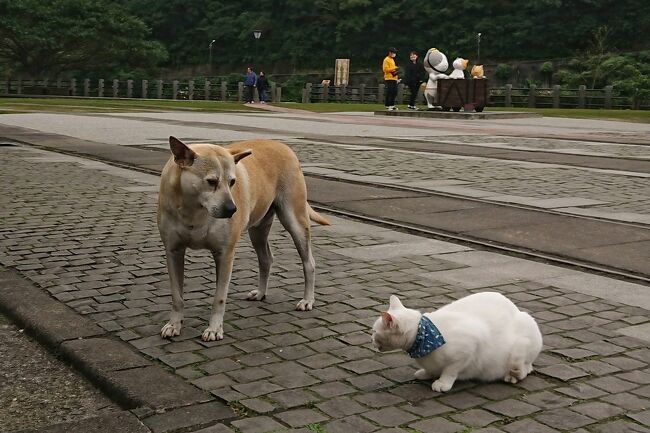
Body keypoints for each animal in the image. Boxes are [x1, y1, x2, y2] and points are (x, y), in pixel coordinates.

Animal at [158, 137, 330, 340]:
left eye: (232, 182)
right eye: (211, 181)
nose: (232, 209)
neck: (194, 210)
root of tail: (283, 145)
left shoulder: (225, 254)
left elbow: (219, 297)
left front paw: (214, 329)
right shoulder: (173, 251)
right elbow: (177, 295)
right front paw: (174, 325)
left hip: (295, 219)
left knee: (308, 262)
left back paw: (307, 300)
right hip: (258, 229)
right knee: (266, 259)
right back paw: (261, 293)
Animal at [370, 290, 540, 392]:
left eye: (374, 331)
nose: (370, 338)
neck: (423, 338)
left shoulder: (469, 345)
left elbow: (450, 371)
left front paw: (443, 383)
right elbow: (431, 369)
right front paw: (426, 373)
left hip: (526, 331)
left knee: (523, 368)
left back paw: (513, 375)